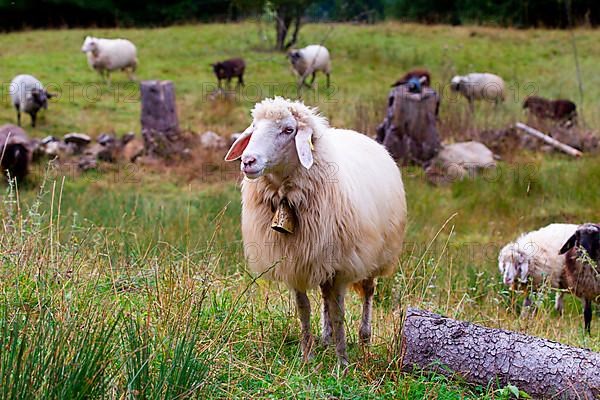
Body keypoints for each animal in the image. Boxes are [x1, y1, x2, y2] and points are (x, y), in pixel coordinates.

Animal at [223, 96, 406, 362]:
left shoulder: (341, 264)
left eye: (288, 130)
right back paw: (326, 338)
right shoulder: (296, 261)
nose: (248, 161)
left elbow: (339, 312)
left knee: (368, 291)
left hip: (377, 254)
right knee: (325, 295)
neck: (286, 195)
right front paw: (306, 354)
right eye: (254, 128)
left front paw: (342, 361)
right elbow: (304, 308)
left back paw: (364, 338)